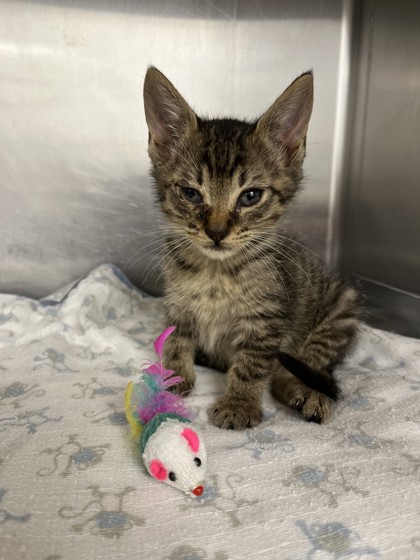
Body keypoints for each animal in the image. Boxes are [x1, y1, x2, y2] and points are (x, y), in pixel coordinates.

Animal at [143, 68, 362, 430]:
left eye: (250, 196)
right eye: (191, 194)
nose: (216, 232)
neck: (216, 272)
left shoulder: (265, 319)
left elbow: (252, 363)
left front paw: (239, 404)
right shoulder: (178, 304)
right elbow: (175, 339)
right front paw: (174, 375)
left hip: (340, 310)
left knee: (303, 366)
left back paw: (305, 393)